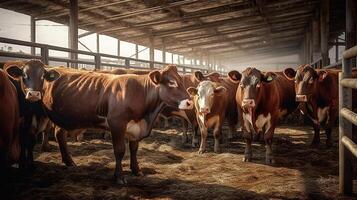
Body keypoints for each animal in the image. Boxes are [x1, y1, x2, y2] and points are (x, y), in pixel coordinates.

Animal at [5, 64, 192, 184]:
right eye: (171, 82)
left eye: (182, 82)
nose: (190, 102)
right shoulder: (117, 124)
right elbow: (120, 151)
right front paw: (119, 177)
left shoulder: (135, 128)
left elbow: (134, 149)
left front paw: (136, 170)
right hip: (32, 113)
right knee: (28, 138)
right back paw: (28, 165)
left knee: (58, 134)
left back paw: (68, 161)